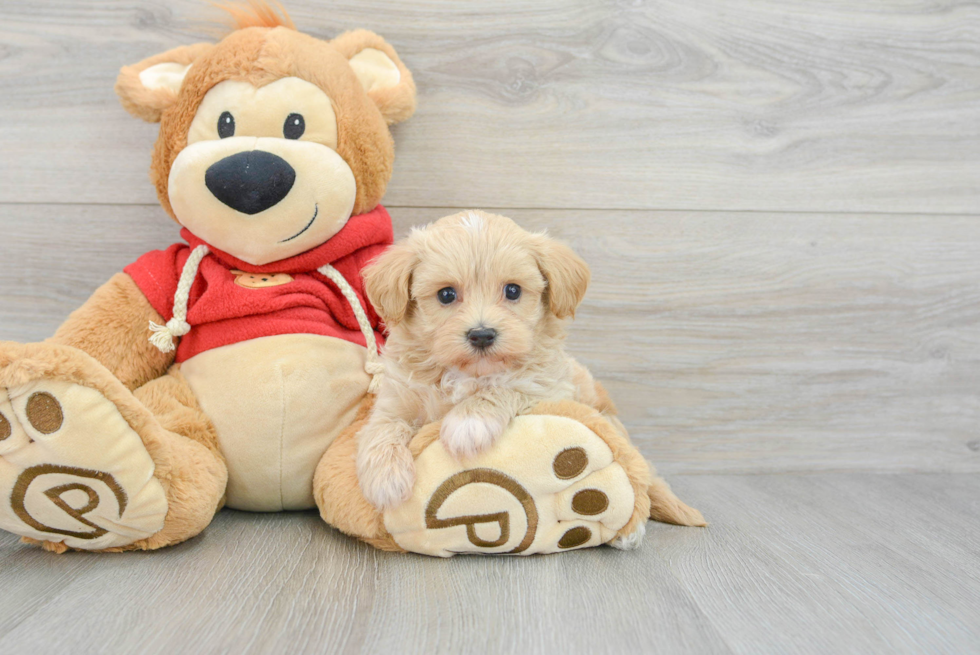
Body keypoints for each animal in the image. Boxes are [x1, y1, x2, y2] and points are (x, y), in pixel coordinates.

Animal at [358, 211, 604, 512]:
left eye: (513, 291)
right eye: (446, 294)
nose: (482, 335)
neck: (467, 373)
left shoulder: (548, 387)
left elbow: (505, 387)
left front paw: (468, 423)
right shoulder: (396, 398)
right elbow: (384, 427)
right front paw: (385, 479)